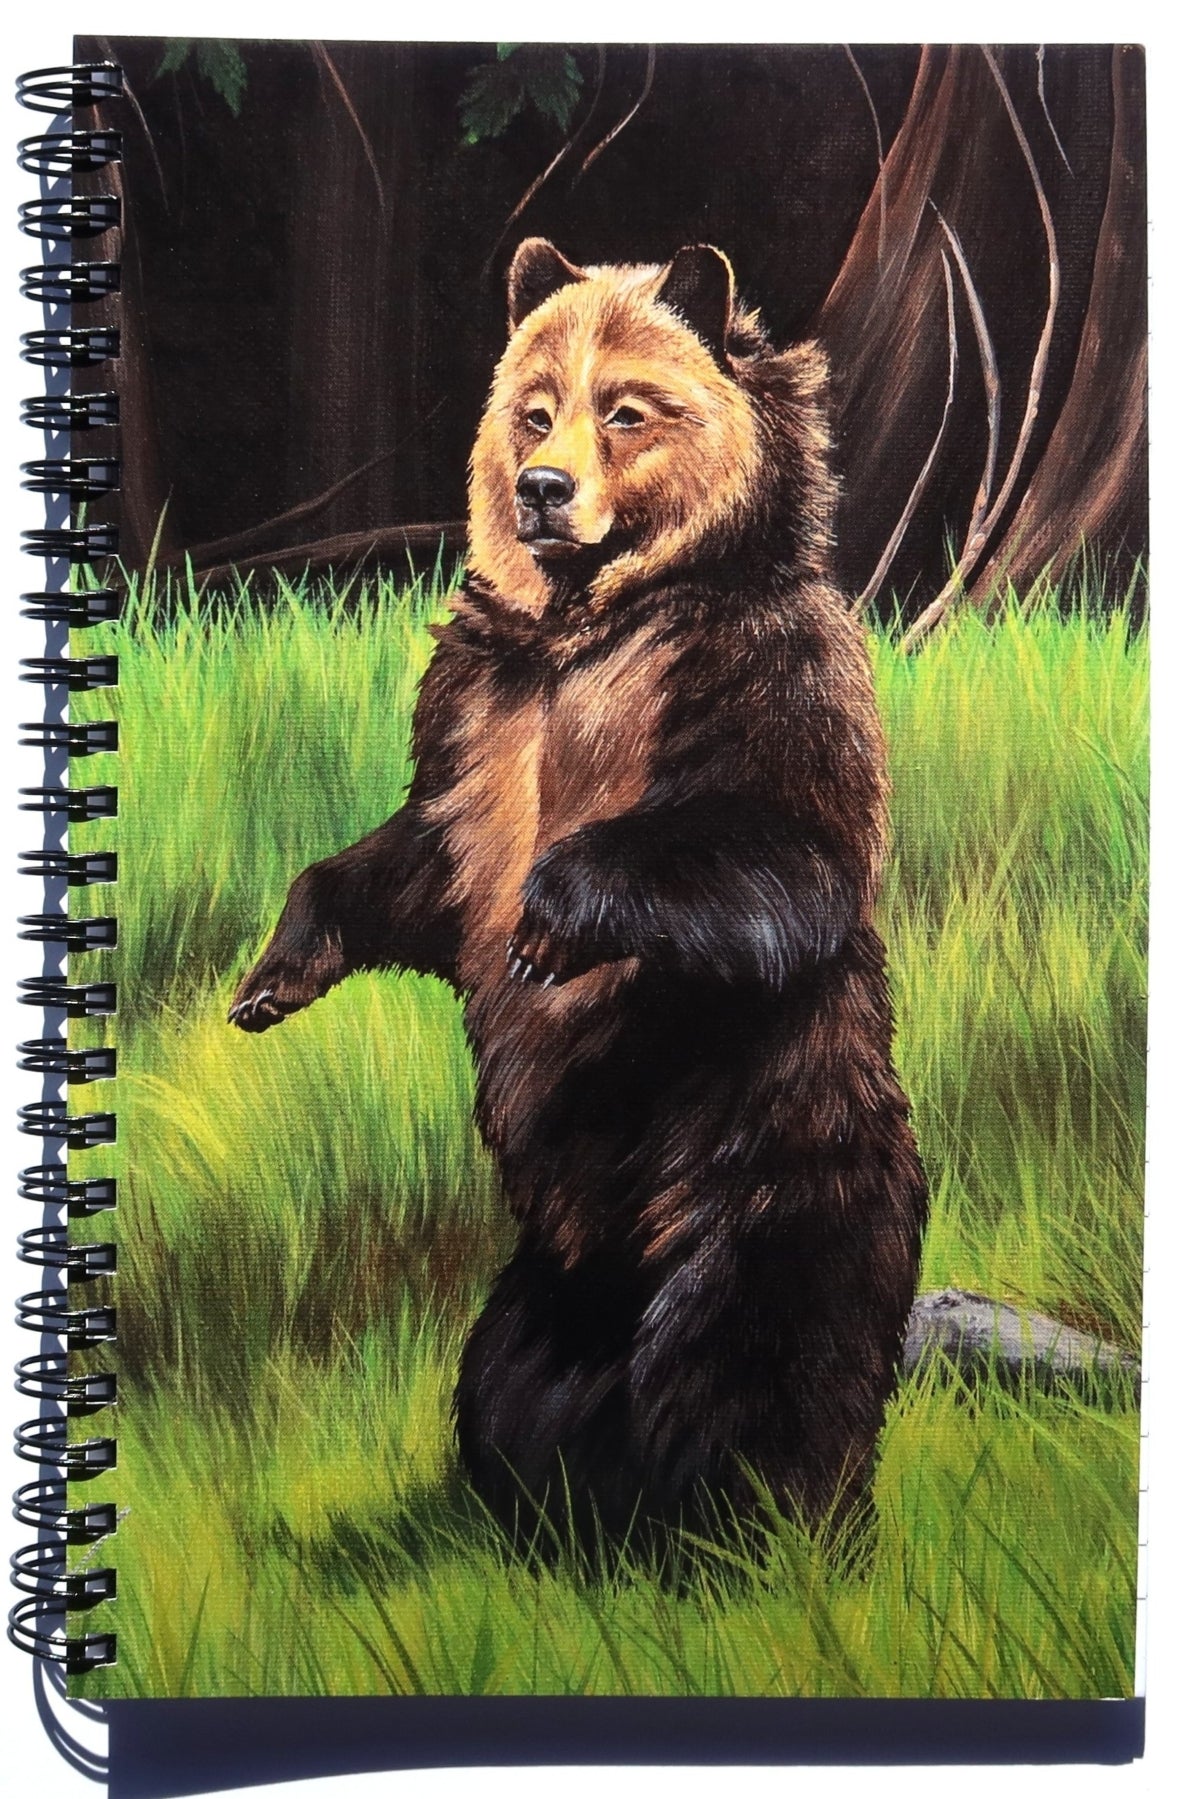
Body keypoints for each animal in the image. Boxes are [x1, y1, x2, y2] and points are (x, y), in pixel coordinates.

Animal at [229, 237, 929, 1554]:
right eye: (534, 405)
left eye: (627, 408)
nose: (543, 488)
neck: (588, 624)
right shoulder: (475, 719)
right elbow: (412, 864)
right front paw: (271, 979)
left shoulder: (755, 675)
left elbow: (789, 857)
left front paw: (553, 924)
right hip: (542, 1283)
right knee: (510, 1379)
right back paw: (541, 1520)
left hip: (754, 1190)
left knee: (747, 1373)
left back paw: (760, 1537)